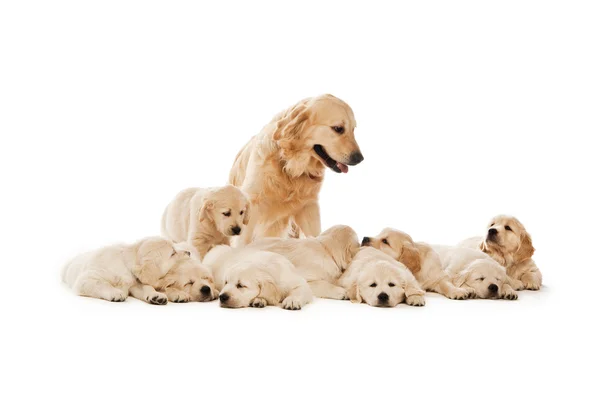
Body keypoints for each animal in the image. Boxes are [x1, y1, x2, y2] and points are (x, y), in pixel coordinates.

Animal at [61, 236, 216, 304]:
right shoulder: (86, 279)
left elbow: (146, 287)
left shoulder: (135, 283)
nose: (188, 252)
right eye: (172, 253)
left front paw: (156, 296)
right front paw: (115, 293)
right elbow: (101, 283)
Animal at [229, 94, 360, 243]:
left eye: (353, 129)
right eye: (338, 128)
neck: (290, 165)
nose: (360, 158)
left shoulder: (308, 207)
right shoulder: (251, 204)